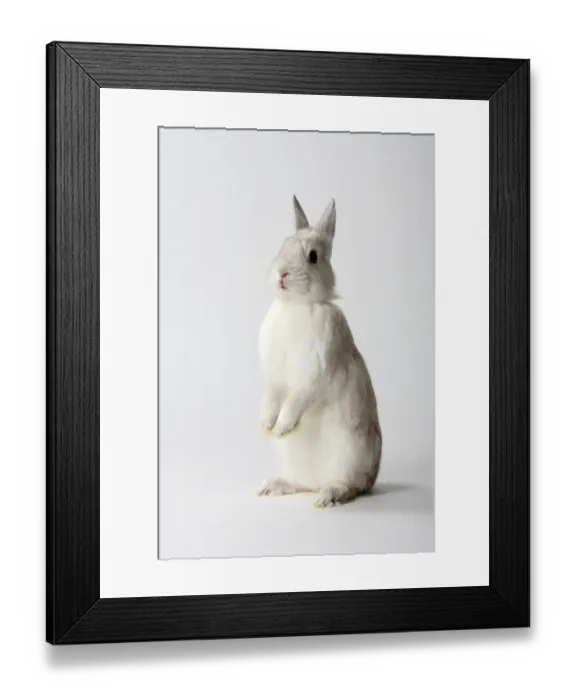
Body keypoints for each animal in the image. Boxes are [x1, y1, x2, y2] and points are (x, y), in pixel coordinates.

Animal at [257, 195, 382, 508]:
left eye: (313, 256)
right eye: (283, 245)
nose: (282, 273)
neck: (296, 306)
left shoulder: (316, 374)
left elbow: (297, 399)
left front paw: (281, 427)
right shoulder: (274, 378)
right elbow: (272, 396)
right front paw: (265, 425)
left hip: (351, 456)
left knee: (351, 487)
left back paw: (329, 496)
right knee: (301, 485)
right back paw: (273, 486)